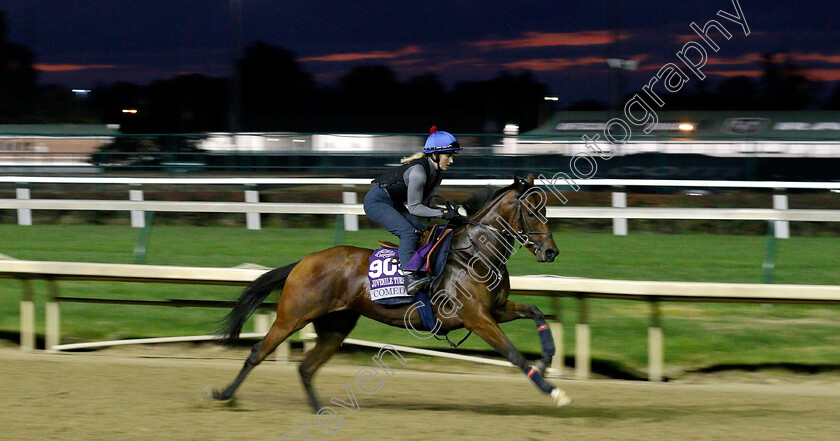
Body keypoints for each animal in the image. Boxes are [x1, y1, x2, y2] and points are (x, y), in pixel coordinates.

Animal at [213, 174, 576, 408]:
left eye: (546, 209)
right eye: (531, 212)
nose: (551, 252)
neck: (474, 254)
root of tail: (303, 261)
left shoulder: (496, 309)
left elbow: (537, 312)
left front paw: (547, 358)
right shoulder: (477, 317)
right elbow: (514, 354)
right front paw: (554, 392)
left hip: (336, 326)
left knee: (306, 368)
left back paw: (317, 410)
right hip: (293, 315)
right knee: (258, 352)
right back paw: (224, 395)